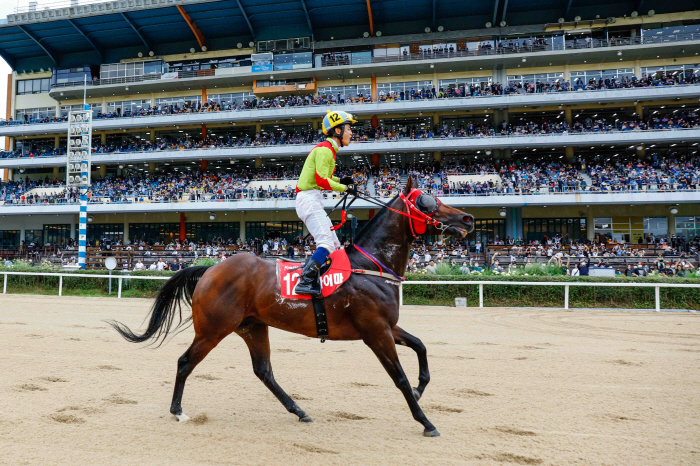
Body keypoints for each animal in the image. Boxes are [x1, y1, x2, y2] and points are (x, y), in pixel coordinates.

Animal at [108, 177, 476, 438]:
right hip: (214, 329)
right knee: (186, 362)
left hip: (252, 326)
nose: (468, 218)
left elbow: (421, 347)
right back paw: (179, 411)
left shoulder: (387, 327)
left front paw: (420, 387)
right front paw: (425, 421)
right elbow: (398, 377)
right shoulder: (375, 332)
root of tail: (209, 269)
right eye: (428, 202)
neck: (371, 266)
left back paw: (299, 410)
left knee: (264, 371)